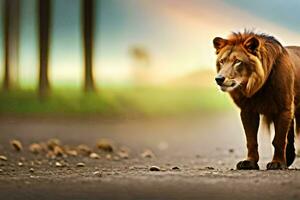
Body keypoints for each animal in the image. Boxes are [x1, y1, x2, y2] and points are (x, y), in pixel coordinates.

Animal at [212, 30, 300, 170]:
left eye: (237, 61)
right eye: (222, 61)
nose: (219, 79)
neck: (255, 86)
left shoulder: (283, 108)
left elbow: (279, 139)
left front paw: (277, 163)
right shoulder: (247, 111)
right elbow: (251, 140)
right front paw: (250, 162)